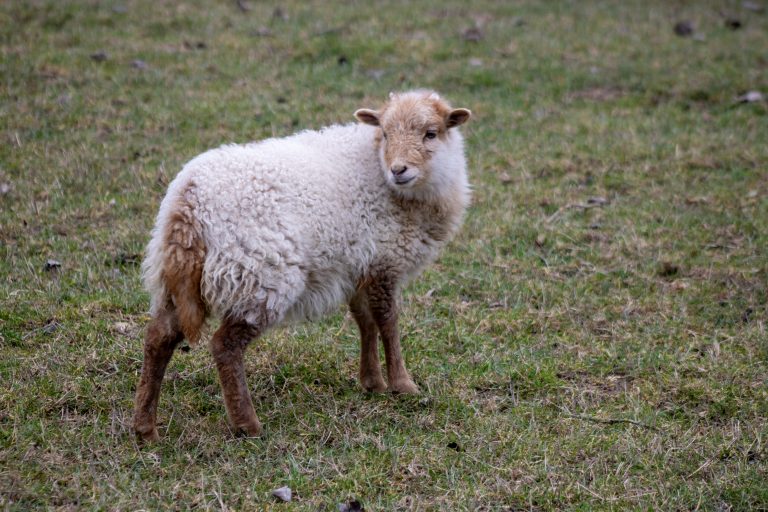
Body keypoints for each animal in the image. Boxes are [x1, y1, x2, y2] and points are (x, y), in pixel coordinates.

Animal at [133, 90, 472, 441]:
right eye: (386, 133)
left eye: (430, 134)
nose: (399, 170)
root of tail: (188, 202)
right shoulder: (384, 259)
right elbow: (388, 322)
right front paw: (402, 385)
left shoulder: (360, 266)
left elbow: (365, 321)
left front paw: (372, 382)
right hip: (260, 275)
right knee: (225, 346)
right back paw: (247, 424)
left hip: (174, 277)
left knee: (158, 337)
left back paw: (145, 428)